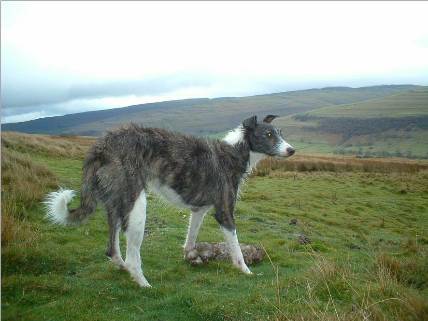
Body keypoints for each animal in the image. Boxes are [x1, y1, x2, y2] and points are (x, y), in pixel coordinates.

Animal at [46, 114, 294, 286]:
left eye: (280, 132)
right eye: (268, 135)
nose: (292, 150)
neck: (234, 152)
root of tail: (102, 144)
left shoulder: (199, 210)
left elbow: (190, 239)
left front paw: (192, 256)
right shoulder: (224, 213)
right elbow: (237, 250)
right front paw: (245, 271)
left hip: (116, 205)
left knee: (112, 251)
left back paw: (123, 268)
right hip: (136, 208)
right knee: (133, 256)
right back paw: (143, 283)